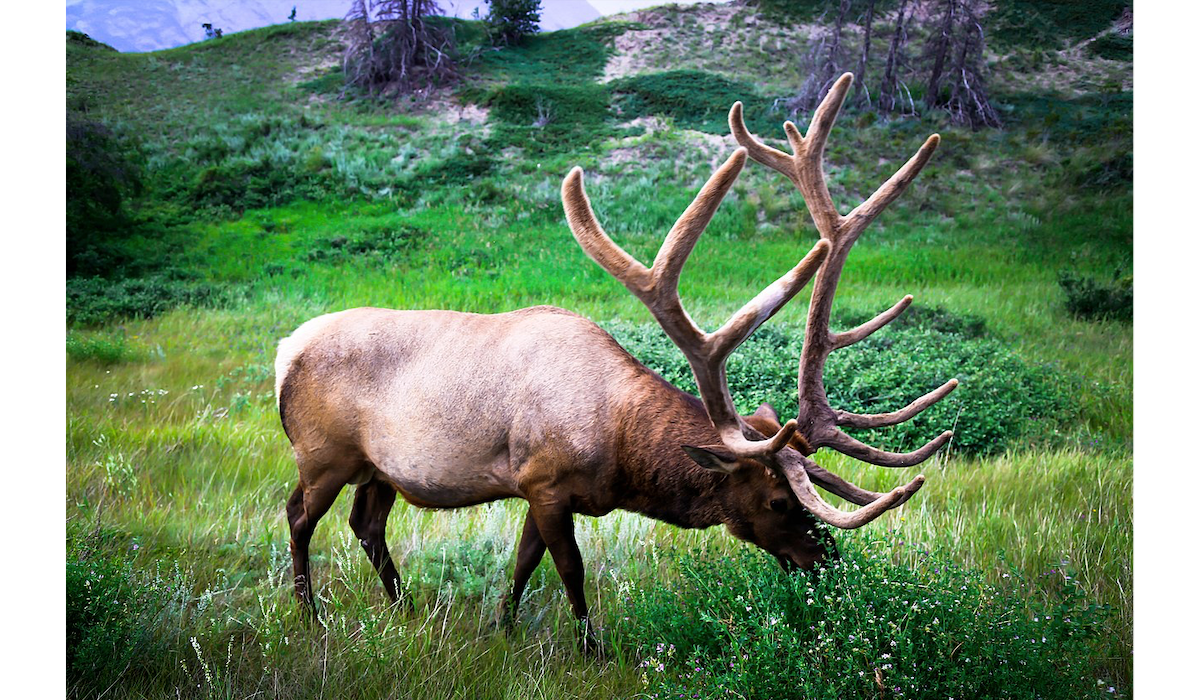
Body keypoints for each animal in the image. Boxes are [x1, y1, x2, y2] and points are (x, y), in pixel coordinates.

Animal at [274, 73, 955, 648]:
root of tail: (283, 351)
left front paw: (502, 627)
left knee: (366, 524)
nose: (827, 565)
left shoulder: (540, 490)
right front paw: (590, 647)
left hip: (377, 469)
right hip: (322, 453)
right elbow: (570, 571)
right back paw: (310, 615)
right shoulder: (545, 481)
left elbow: (523, 563)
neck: (621, 455)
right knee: (299, 516)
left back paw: (404, 605)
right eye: (779, 502)